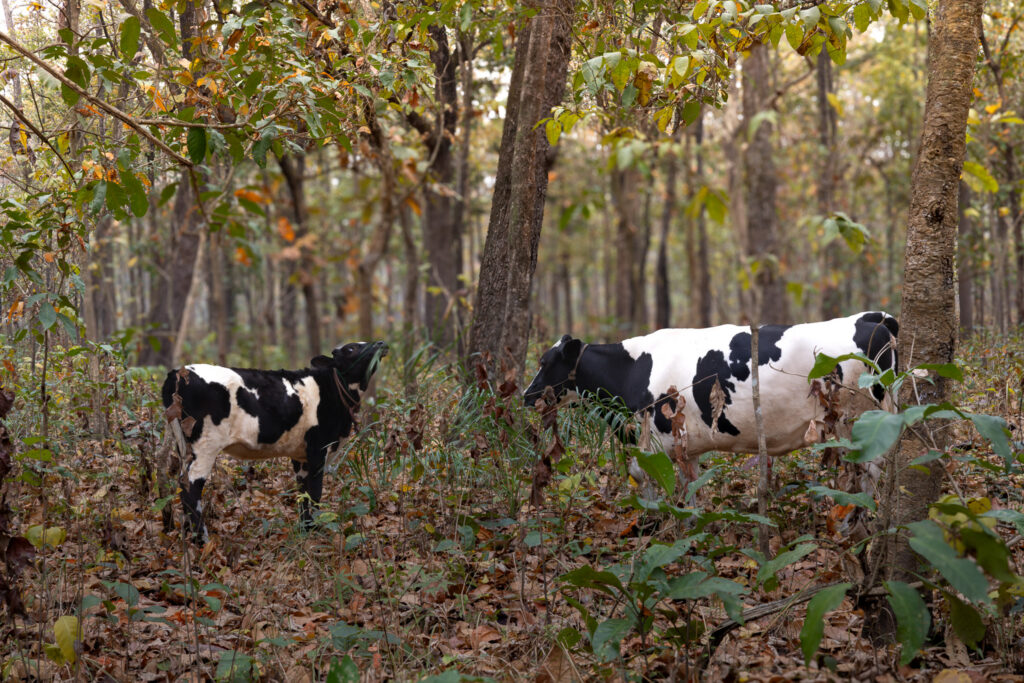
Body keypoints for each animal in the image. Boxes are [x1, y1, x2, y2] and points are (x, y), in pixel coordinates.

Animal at [161, 341, 388, 544]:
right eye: (350, 348)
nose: (380, 344)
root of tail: (177, 372)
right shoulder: (318, 449)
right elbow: (315, 492)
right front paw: (316, 531)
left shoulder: (301, 455)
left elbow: (303, 493)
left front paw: (306, 530)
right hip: (205, 444)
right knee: (191, 487)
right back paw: (202, 540)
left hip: (183, 445)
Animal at [524, 312, 898, 494]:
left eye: (544, 362)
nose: (526, 395)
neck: (632, 370)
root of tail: (871, 317)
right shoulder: (686, 445)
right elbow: (691, 488)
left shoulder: (656, 439)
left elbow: (648, 482)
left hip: (858, 420)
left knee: (872, 469)